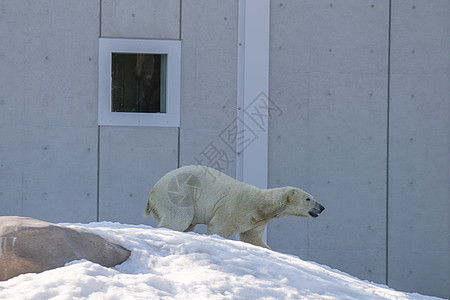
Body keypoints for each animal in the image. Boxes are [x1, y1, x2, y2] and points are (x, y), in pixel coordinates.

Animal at [146, 165, 326, 247]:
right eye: (308, 199)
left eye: (313, 197)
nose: (322, 207)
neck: (260, 205)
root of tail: (153, 189)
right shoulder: (234, 209)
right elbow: (219, 229)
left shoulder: (257, 221)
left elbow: (252, 238)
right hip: (179, 195)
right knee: (179, 219)